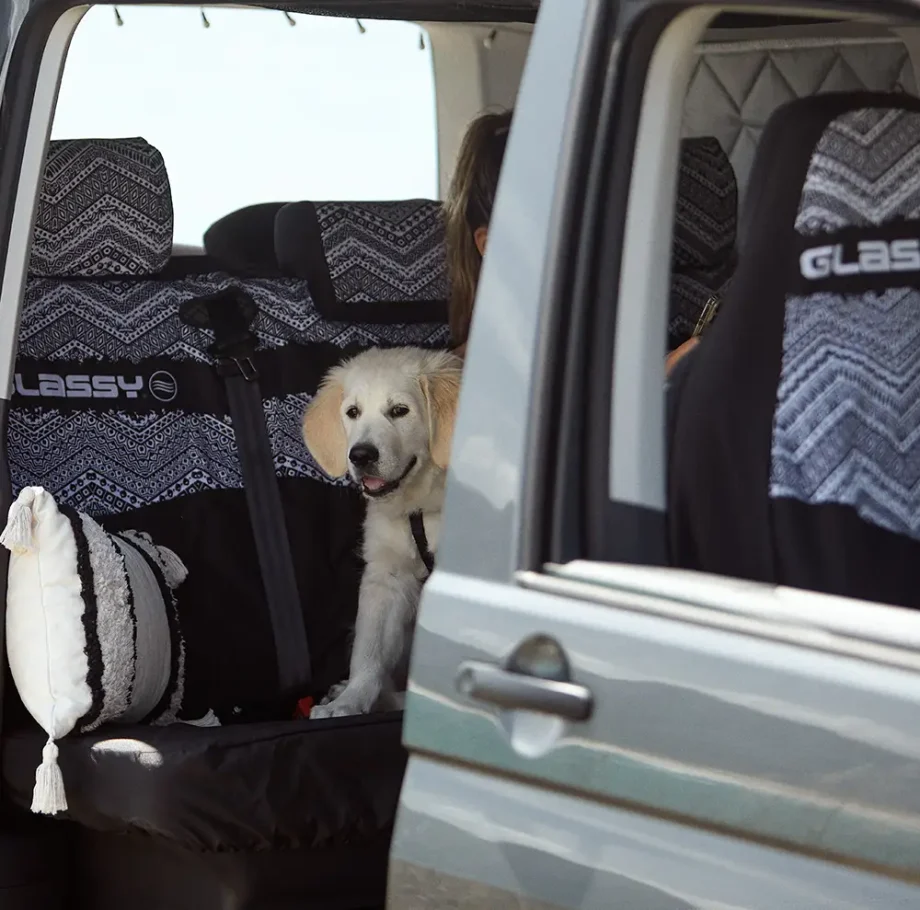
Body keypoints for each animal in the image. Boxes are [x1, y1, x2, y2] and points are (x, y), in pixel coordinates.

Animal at [302, 348, 460, 720]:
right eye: (353, 412)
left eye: (400, 410)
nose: (360, 455)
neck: (422, 505)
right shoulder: (387, 576)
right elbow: (369, 651)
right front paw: (351, 700)